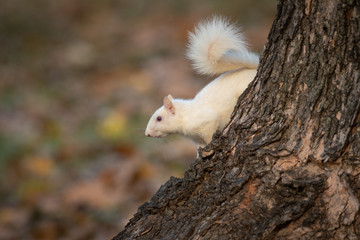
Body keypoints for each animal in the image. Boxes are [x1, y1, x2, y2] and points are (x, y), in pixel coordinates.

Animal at [145, 16, 260, 147]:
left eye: (159, 118)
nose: (147, 133)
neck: (184, 116)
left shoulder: (206, 120)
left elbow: (210, 132)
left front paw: (211, 143)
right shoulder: (195, 138)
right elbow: (200, 146)